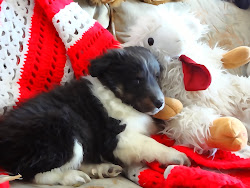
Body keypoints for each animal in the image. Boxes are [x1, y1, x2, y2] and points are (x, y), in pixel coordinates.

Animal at [0, 46, 189, 185]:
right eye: (137, 80)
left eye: (157, 77)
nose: (160, 103)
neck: (117, 96)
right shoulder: (117, 138)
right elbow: (150, 143)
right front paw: (178, 156)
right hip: (64, 128)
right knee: (33, 173)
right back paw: (73, 177)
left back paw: (104, 169)